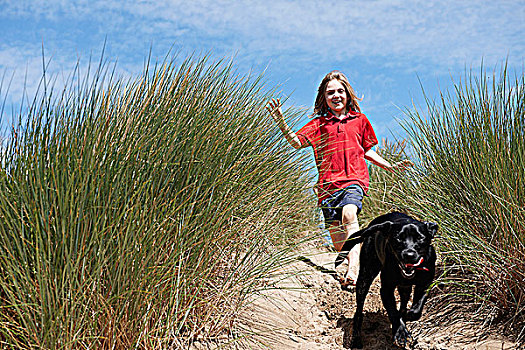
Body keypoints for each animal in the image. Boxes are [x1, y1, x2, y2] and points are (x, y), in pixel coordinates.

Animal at [336, 212, 438, 348]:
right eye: (398, 238)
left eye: (420, 238)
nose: (409, 255)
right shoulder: (386, 290)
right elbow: (393, 312)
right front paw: (401, 334)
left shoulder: (426, 283)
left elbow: (418, 306)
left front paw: (409, 316)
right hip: (365, 278)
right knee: (358, 312)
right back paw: (356, 340)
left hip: (404, 287)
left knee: (404, 303)